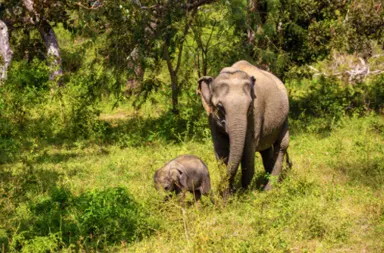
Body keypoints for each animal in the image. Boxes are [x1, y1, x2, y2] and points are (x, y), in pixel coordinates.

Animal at [198, 59, 292, 194]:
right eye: (220, 106)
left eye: (250, 105)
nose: (217, 190)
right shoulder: (212, 119)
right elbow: (221, 150)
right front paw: (227, 196)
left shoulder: (255, 116)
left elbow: (248, 151)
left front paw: (244, 194)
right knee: (266, 150)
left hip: (285, 117)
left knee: (281, 145)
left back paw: (268, 190)